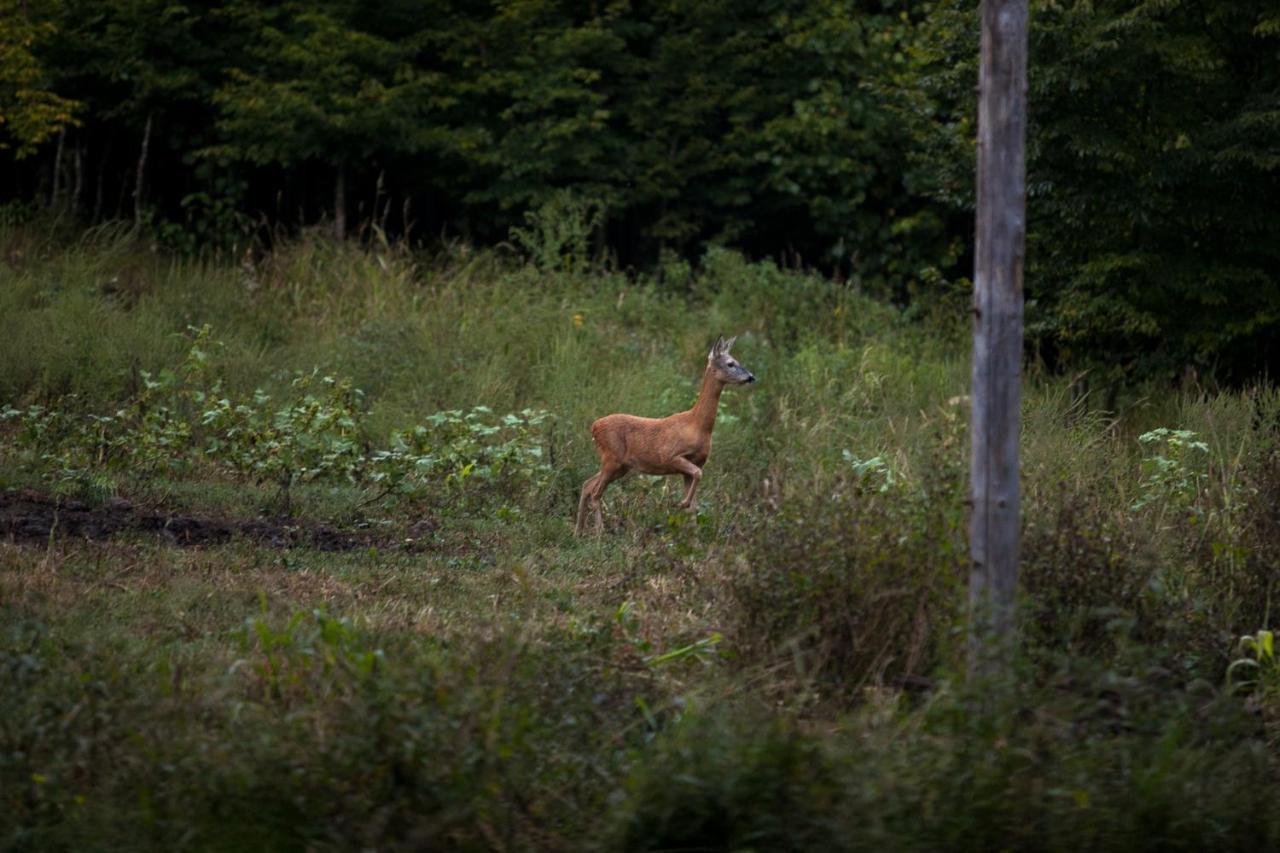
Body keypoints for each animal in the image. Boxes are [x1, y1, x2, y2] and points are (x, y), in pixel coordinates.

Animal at [576, 330, 752, 532]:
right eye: (731, 363)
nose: (751, 377)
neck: (697, 425)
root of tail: (594, 427)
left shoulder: (695, 464)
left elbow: (695, 505)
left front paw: (692, 531)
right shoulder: (671, 455)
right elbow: (696, 481)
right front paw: (681, 503)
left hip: (620, 466)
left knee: (587, 485)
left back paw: (578, 532)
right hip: (612, 458)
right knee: (595, 493)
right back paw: (598, 533)